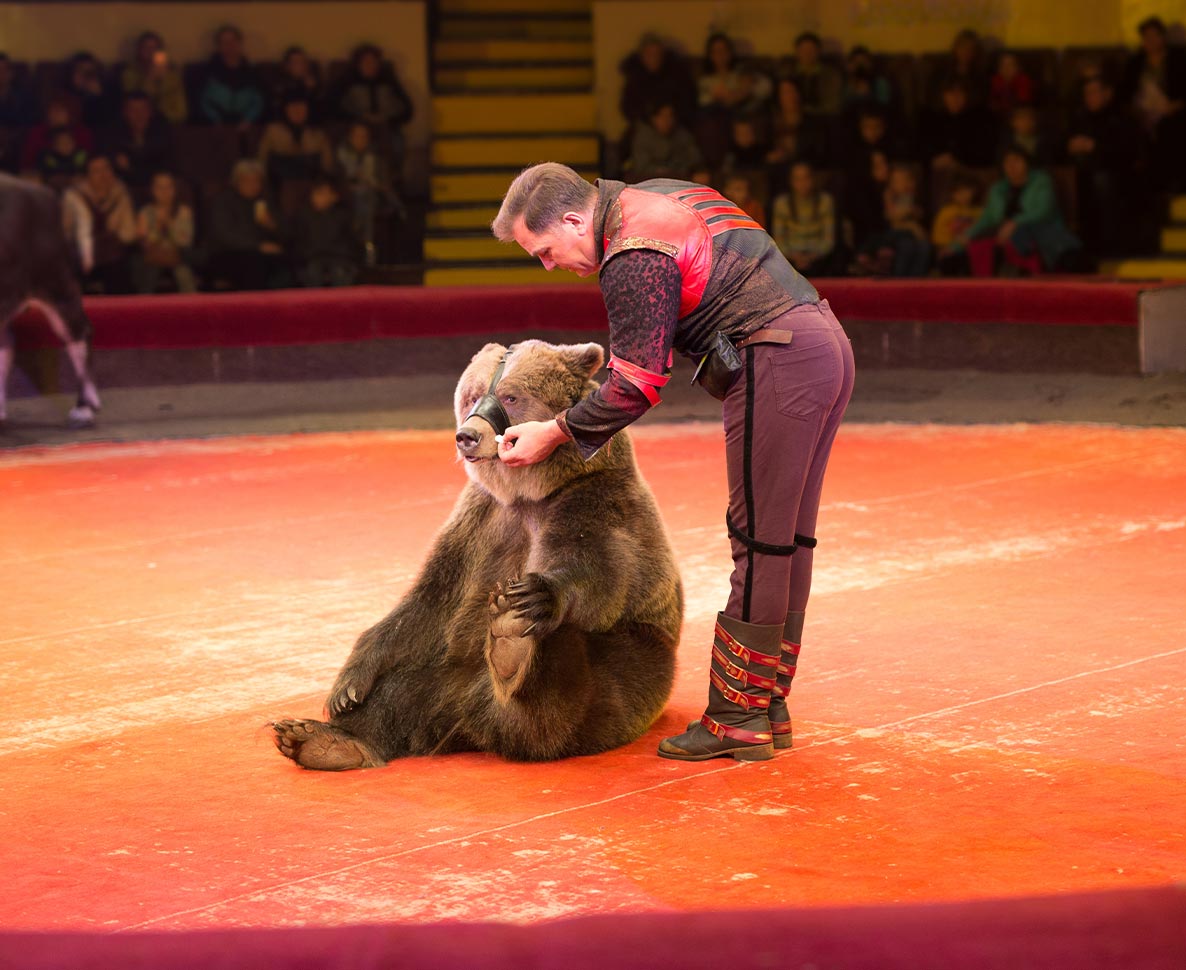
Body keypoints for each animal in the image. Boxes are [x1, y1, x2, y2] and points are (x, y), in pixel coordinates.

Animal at [268, 336, 678, 768]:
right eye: (471, 395)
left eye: (511, 396)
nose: (467, 434)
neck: (526, 493)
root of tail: (476, 720)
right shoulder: (477, 522)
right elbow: (427, 603)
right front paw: (347, 686)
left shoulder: (590, 501)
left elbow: (600, 574)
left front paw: (537, 594)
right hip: (446, 673)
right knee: (402, 691)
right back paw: (324, 740)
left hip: (631, 669)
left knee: (567, 690)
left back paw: (513, 641)